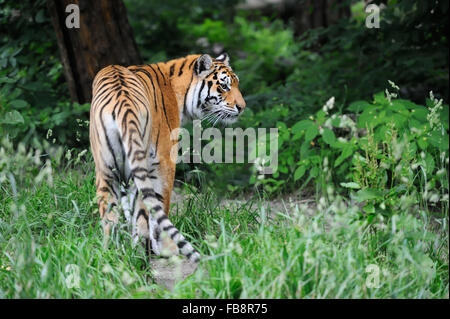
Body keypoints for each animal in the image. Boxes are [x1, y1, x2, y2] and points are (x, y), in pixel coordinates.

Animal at [88, 52, 246, 262]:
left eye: (236, 84)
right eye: (224, 86)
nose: (242, 107)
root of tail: (122, 101)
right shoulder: (164, 162)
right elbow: (161, 204)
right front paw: (166, 248)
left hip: (105, 170)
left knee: (110, 221)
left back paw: (112, 257)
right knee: (144, 215)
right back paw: (141, 256)